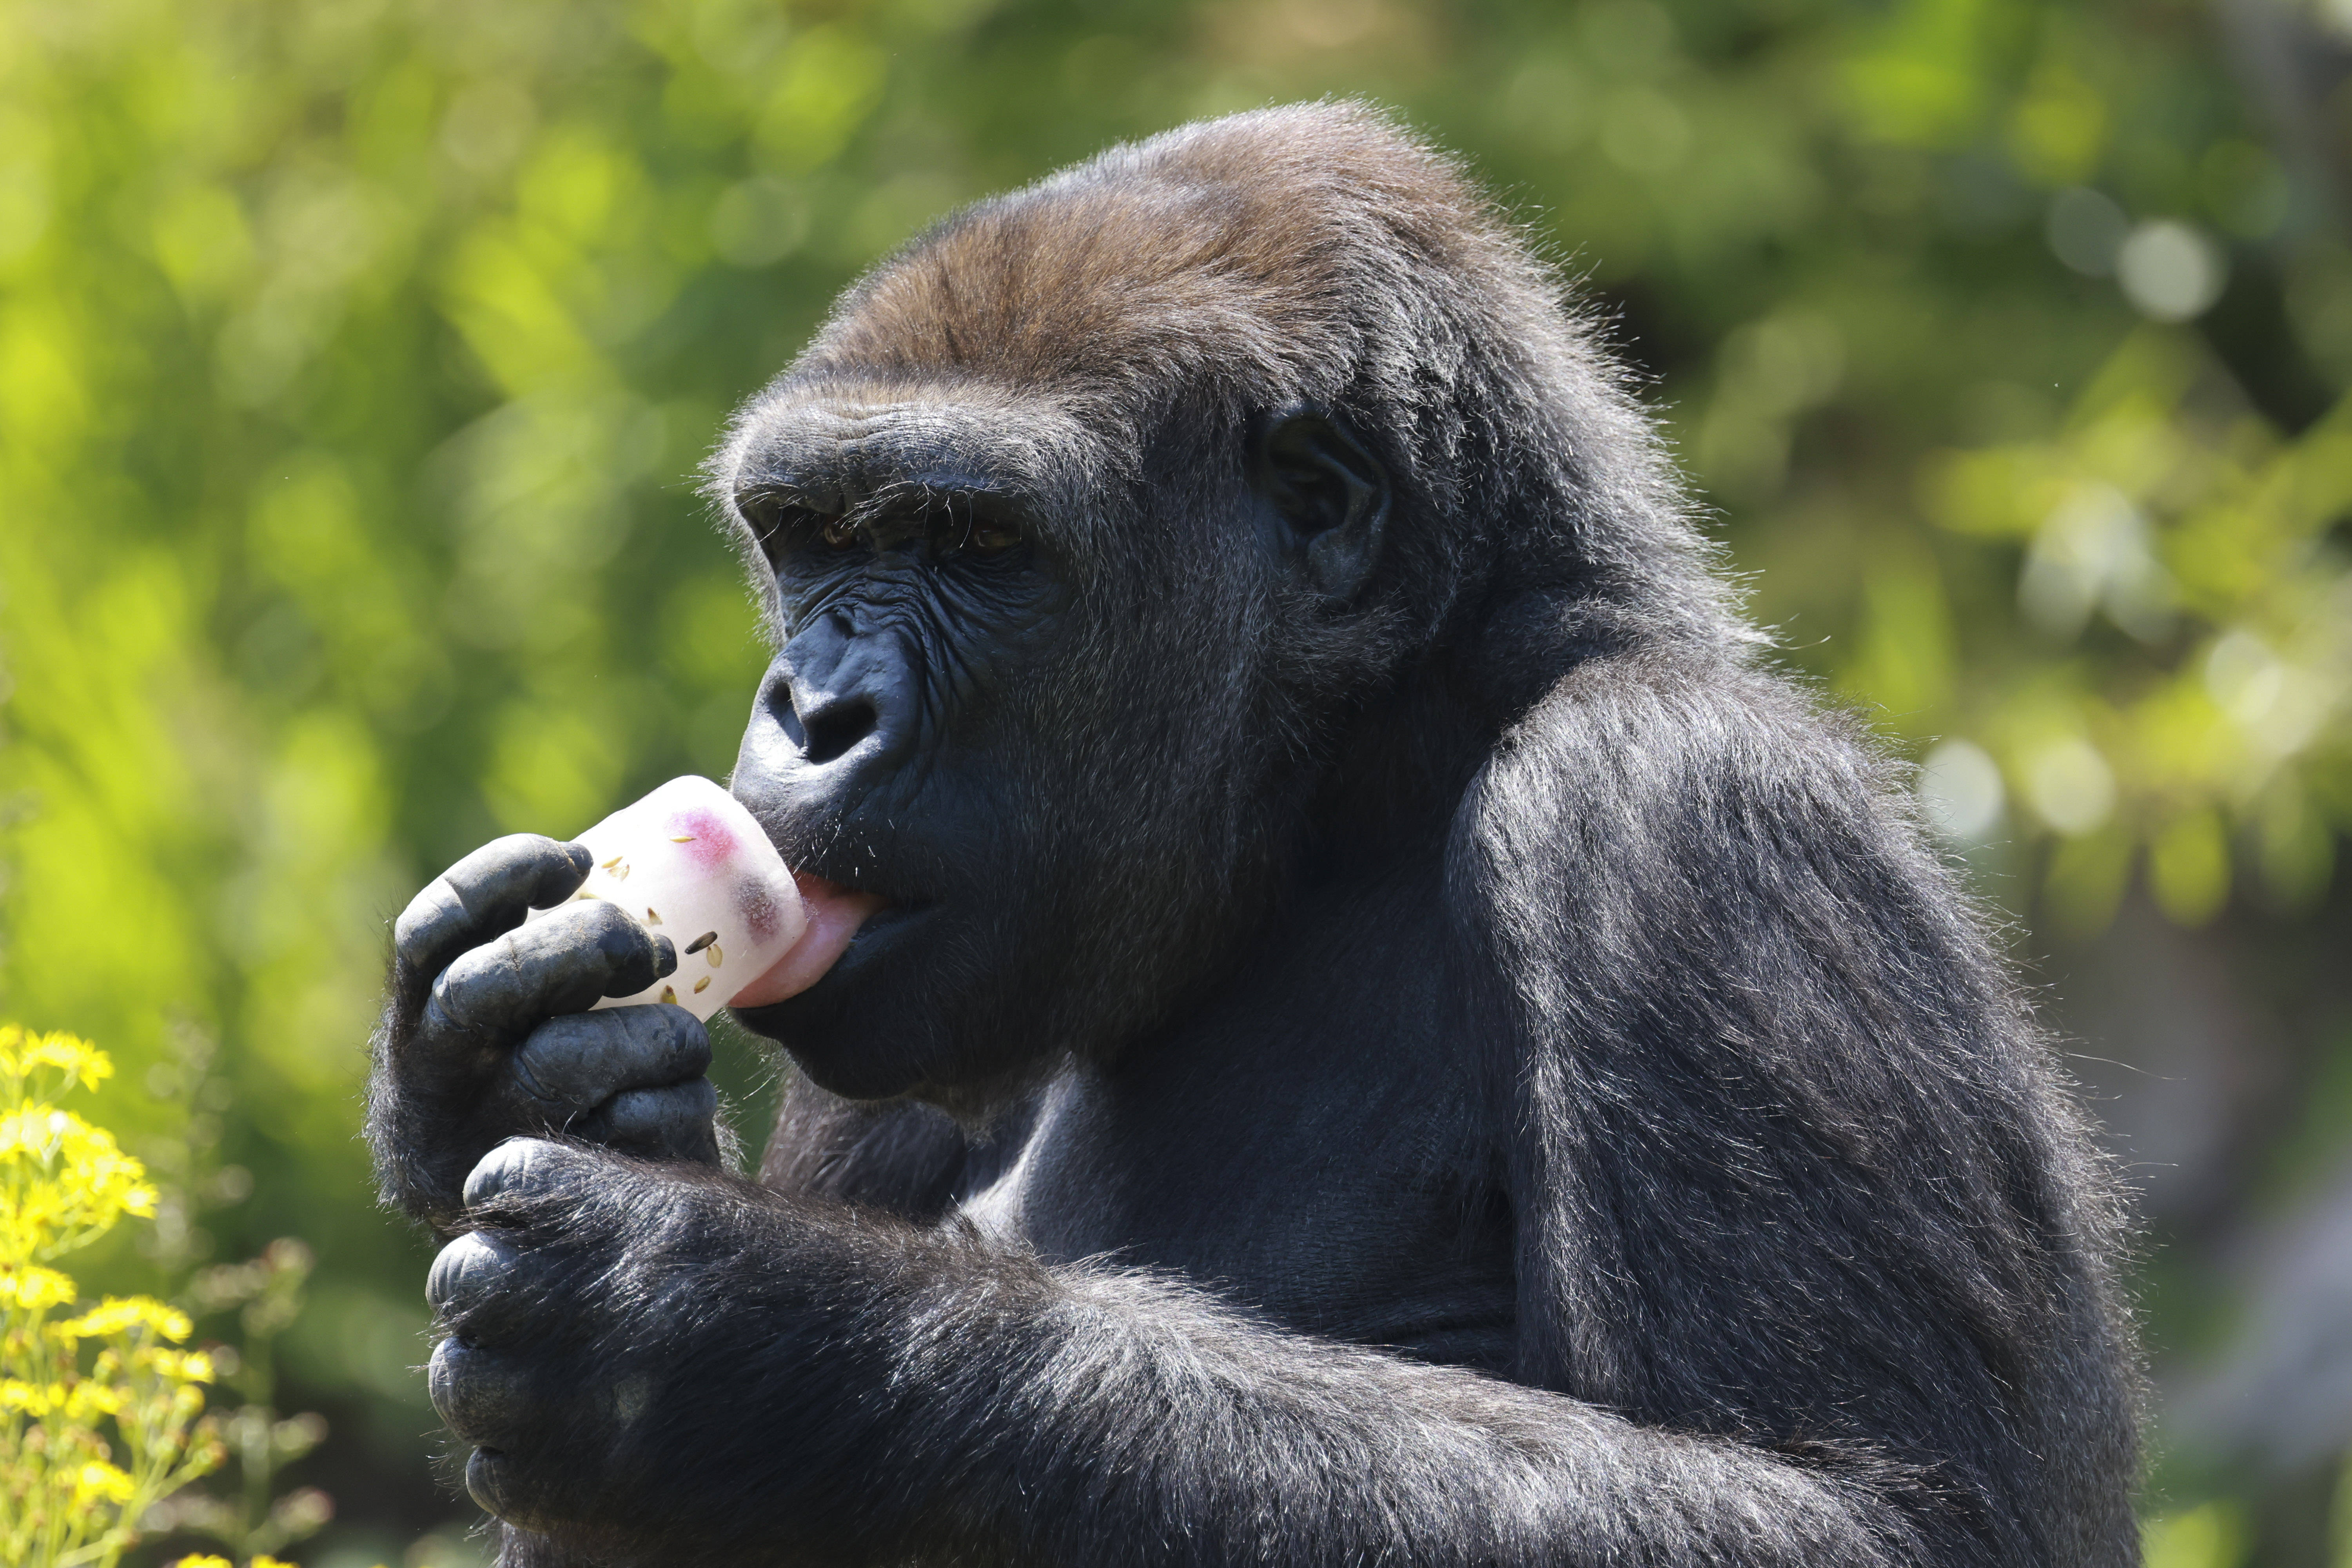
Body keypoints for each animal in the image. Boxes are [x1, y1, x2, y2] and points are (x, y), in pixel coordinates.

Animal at [362, 104, 2136, 1561]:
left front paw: (761, 1346)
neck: (1357, 797)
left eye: (975, 543)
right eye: (810, 538)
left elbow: (1862, 1514)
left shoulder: (1685, 811)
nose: (813, 707)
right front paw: (519, 1080)